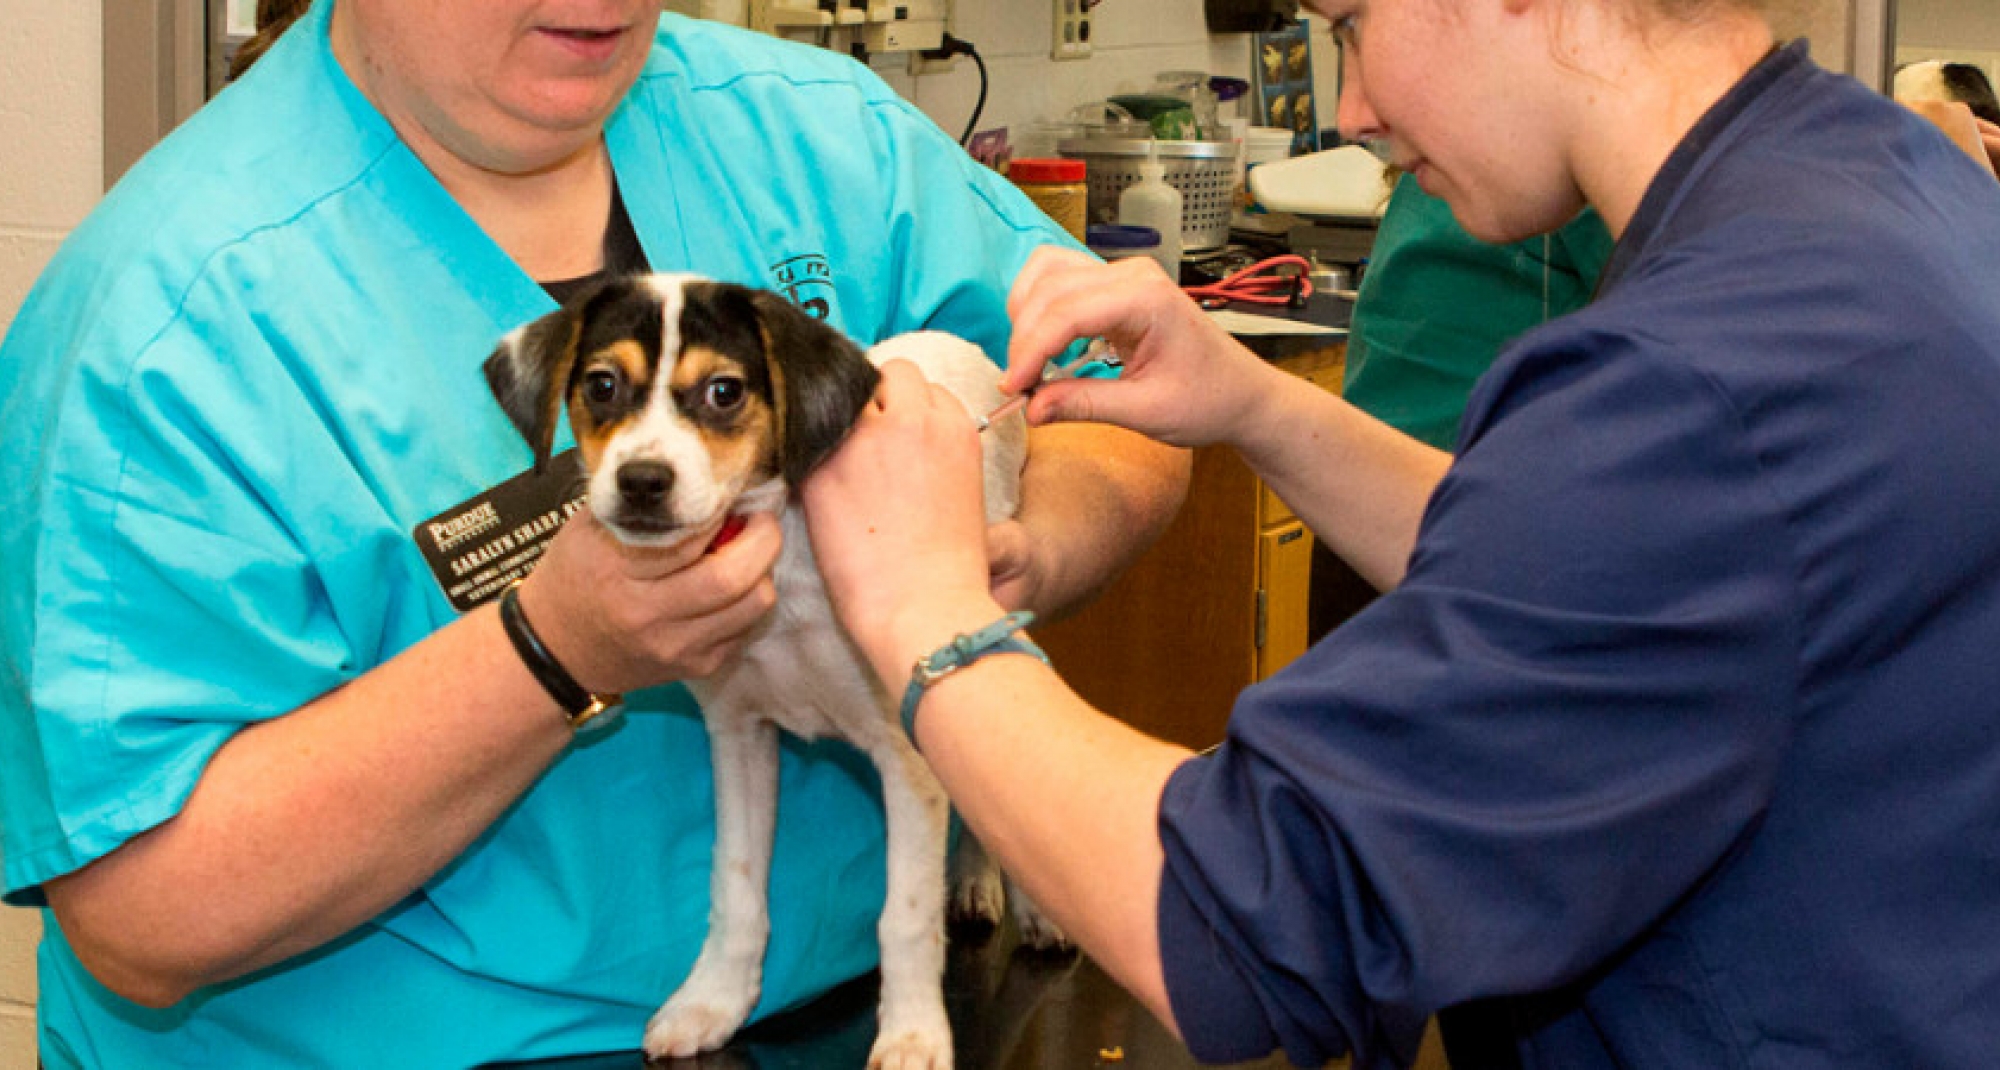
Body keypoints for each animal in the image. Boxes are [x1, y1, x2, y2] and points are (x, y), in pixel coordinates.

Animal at [482, 278, 1056, 1070]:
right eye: (601, 385)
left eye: (724, 392)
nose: (641, 482)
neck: (783, 570)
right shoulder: (738, 735)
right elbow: (736, 888)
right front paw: (713, 1001)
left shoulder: (904, 753)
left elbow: (903, 916)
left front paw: (911, 1032)